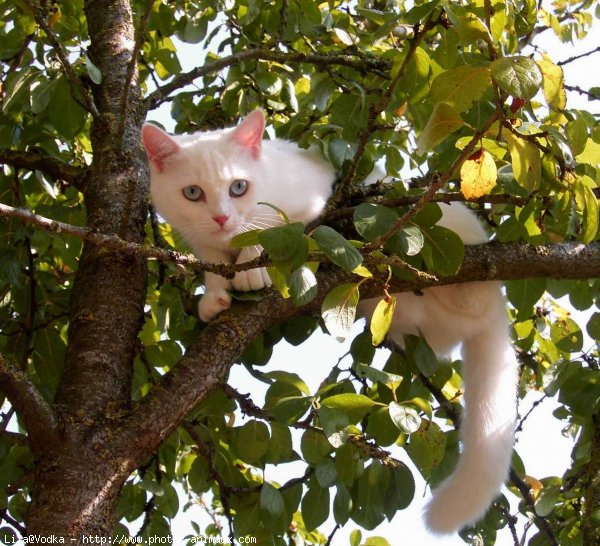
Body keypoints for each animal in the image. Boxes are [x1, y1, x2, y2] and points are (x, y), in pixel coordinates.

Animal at [141, 109, 516, 532]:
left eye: (238, 187)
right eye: (193, 193)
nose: (221, 217)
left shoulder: (310, 199)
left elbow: (270, 229)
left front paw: (251, 264)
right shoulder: (201, 240)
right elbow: (211, 257)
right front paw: (215, 294)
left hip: (434, 221)